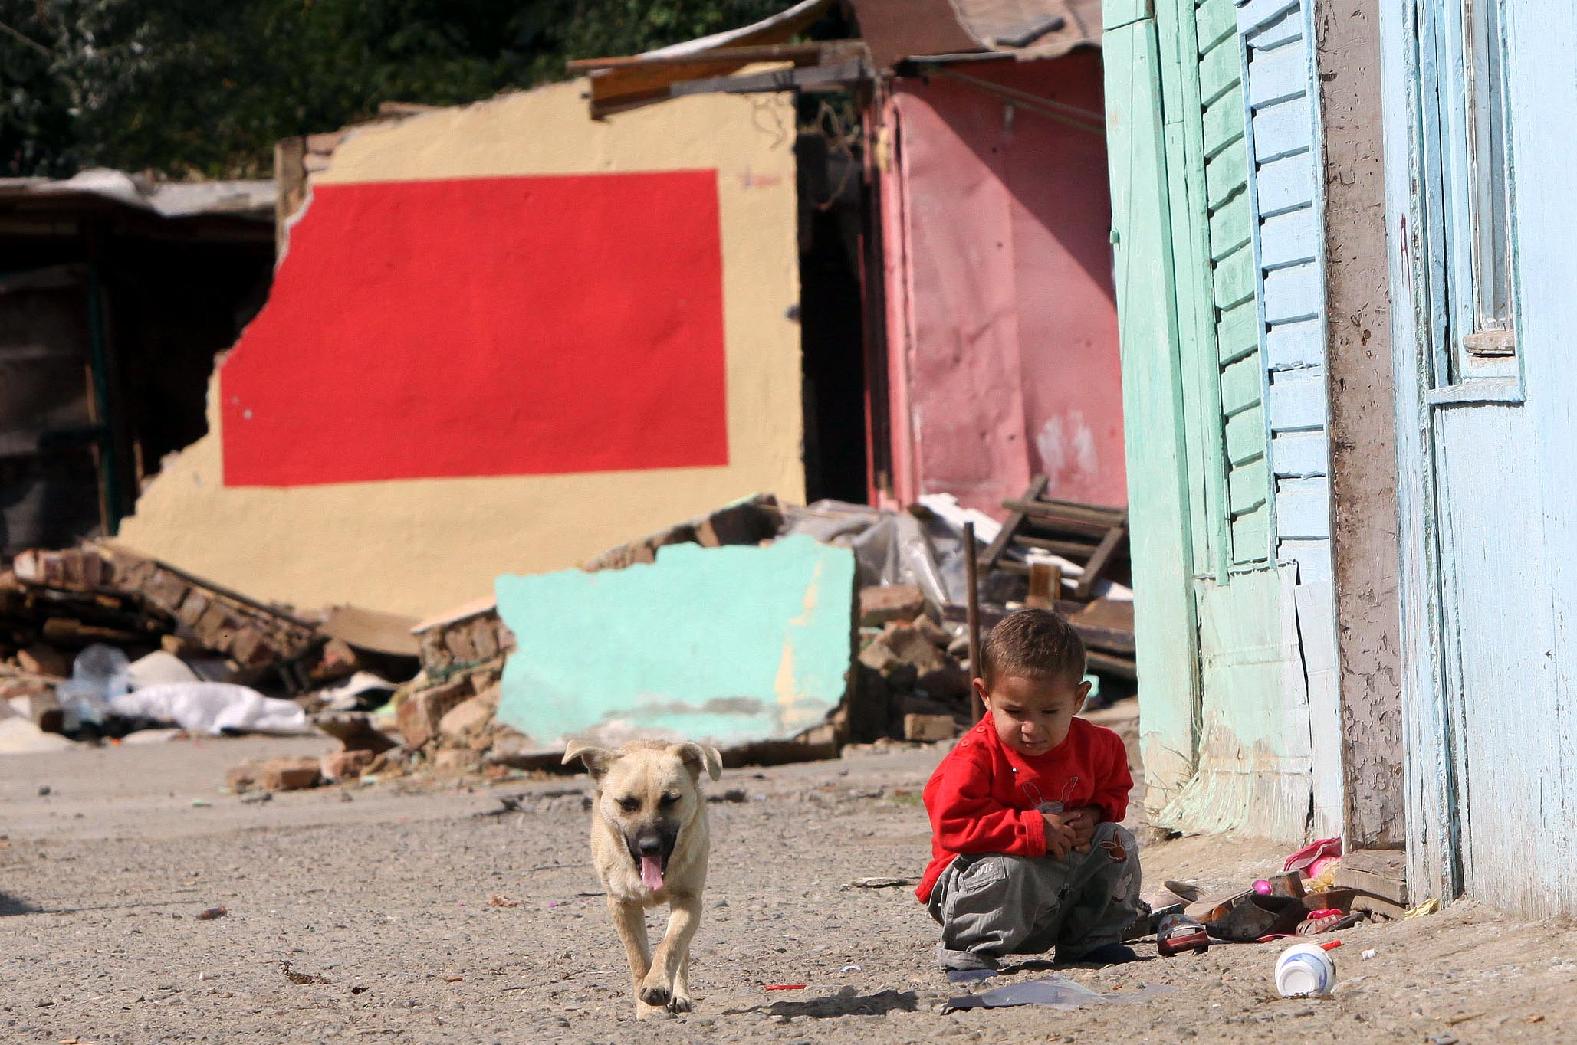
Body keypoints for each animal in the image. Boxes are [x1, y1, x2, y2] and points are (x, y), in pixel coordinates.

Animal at [564, 740, 722, 1015]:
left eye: (670, 799)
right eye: (627, 803)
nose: (650, 847)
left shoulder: (688, 900)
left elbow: (671, 945)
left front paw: (658, 986)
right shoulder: (621, 904)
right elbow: (638, 957)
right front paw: (648, 1010)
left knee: (682, 952)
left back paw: (680, 994)